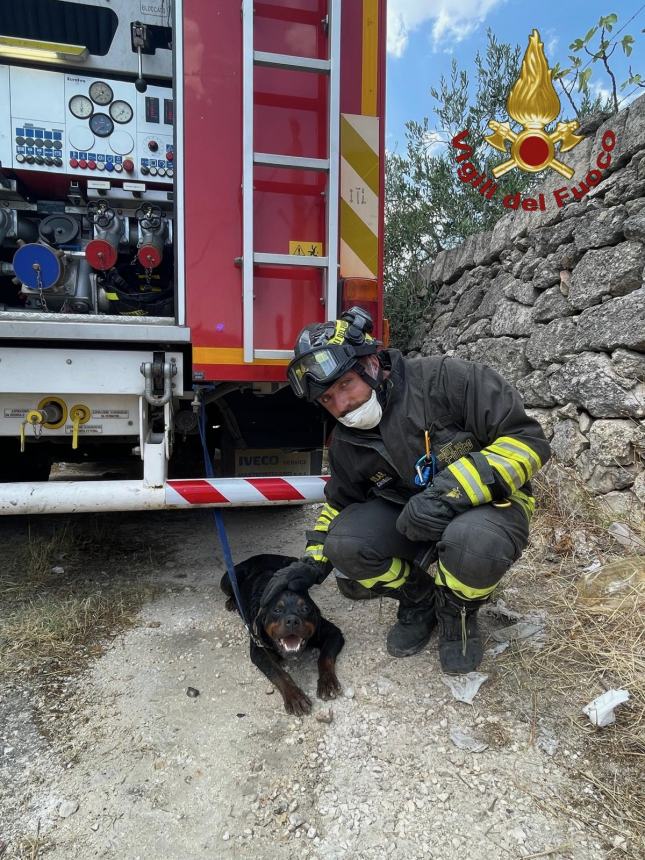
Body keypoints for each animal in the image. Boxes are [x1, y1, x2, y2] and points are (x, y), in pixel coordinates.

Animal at [220, 556, 344, 716]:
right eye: (277, 610)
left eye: (305, 608)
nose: (292, 621)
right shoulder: (259, 649)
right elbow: (278, 673)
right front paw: (295, 696)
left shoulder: (333, 632)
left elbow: (325, 657)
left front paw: (327, 682)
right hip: (228, 580)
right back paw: (232, 602)